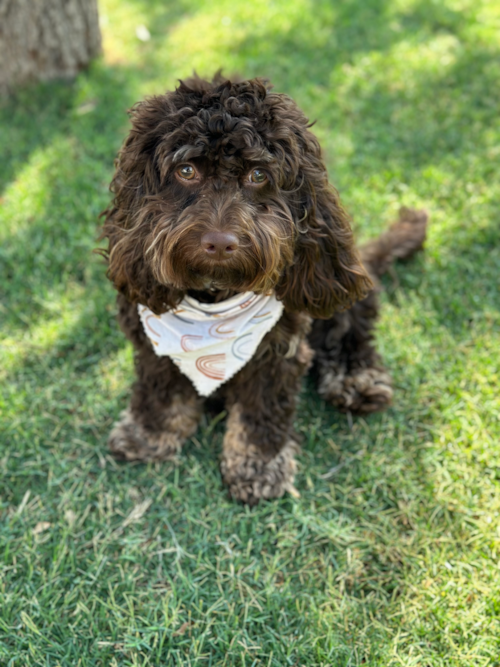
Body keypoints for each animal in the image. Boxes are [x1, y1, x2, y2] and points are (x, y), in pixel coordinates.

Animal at [99, 73, 428, 504]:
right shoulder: (152, 341)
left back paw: (357, 380)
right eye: (186, 170)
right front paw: (148, 433)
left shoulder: (277, 352)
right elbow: (161, 390)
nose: (220, 243)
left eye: (258, 176)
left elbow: (261, 412)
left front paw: (257, 466)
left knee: (352, 331)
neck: (215, 298)